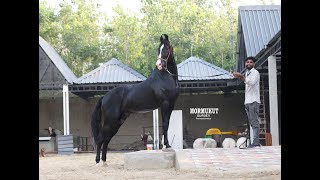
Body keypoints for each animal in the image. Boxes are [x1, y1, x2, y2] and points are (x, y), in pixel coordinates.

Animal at [91, 34, 179, 165]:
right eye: (159, 49)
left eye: (167, 48)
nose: (159, 64)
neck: (165, 75)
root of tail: (105, 97)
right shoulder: (165, 104)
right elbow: (164, 124)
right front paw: (167, 145)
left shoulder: (171, 104)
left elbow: (167, 123)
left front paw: (166, 145)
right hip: (109, 121)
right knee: (101, 139)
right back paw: (98, 162)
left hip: (117, 122)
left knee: (106, 139)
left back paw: (104, 161)